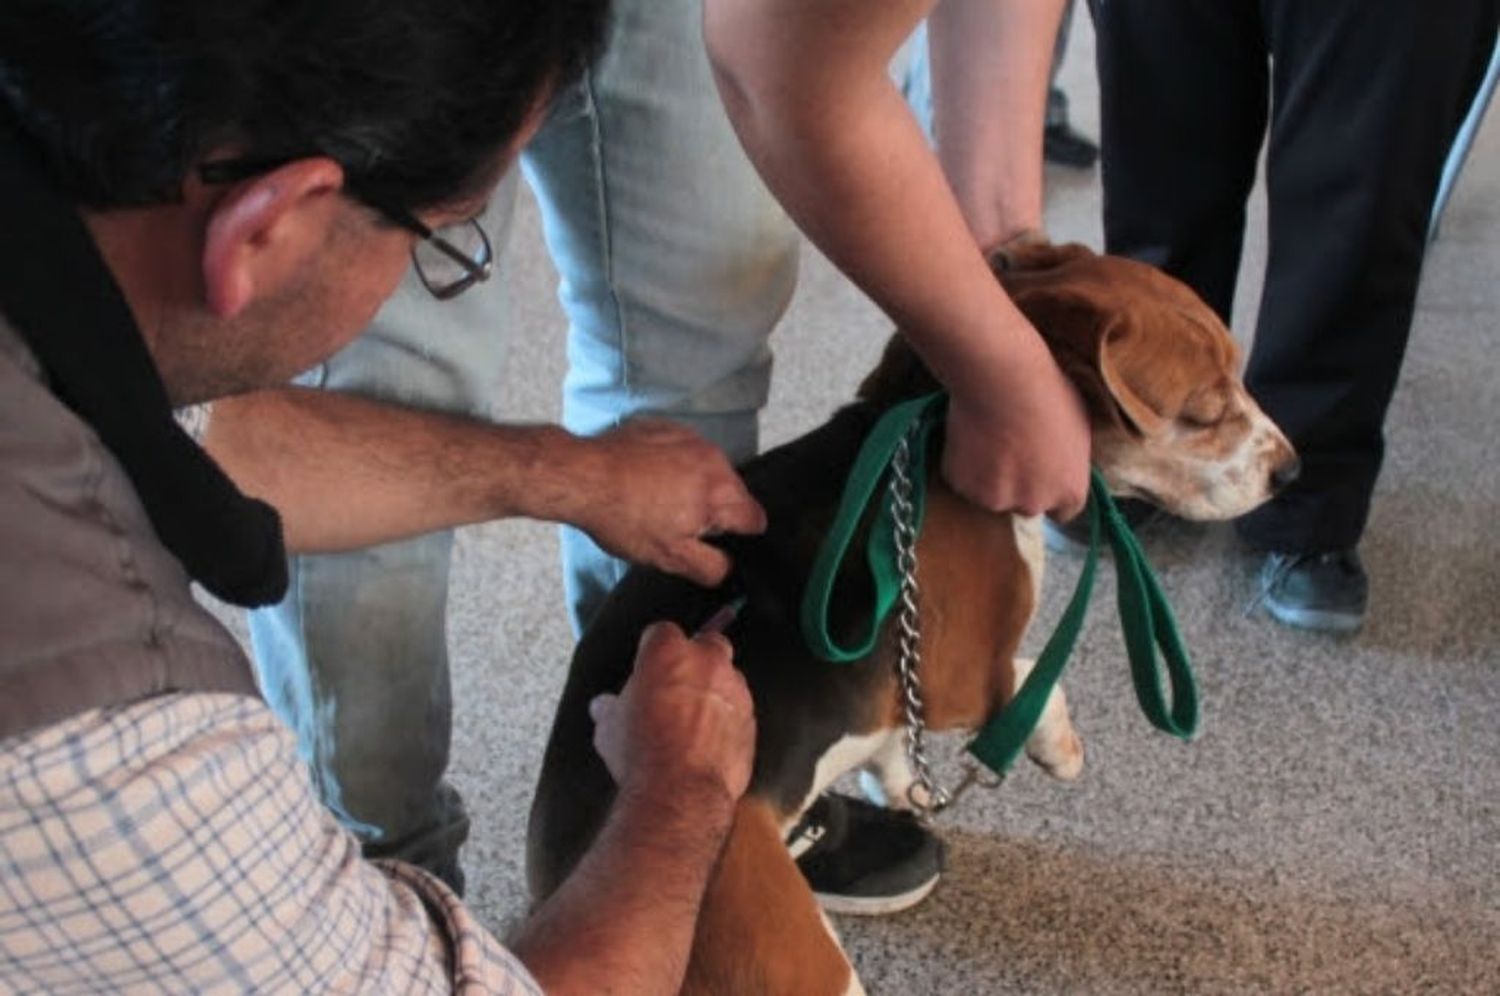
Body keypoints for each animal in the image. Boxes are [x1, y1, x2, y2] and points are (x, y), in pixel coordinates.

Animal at [528, 243, 1302, 996]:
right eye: (1202, 412)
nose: (1291, 472)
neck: (930, 426)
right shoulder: (958, 672)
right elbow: (1037, 678)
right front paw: (1058, 747)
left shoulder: (900, 687)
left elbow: (892, 742)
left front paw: (905, 788)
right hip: (801, 962)